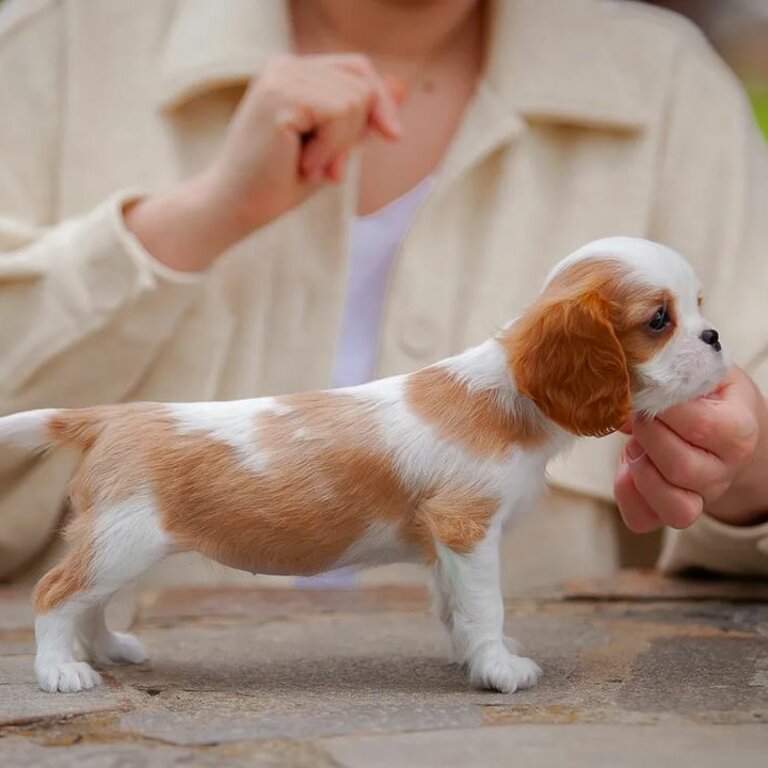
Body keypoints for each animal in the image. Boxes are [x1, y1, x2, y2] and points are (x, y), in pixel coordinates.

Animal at [0, 237, 728, 692]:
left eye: (700, 306)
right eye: (659, 319)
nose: (717, 338)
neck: (508, 394)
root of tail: (107, 416)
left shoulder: (445, 546)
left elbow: (455, 608)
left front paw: (473, 658)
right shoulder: (467, 529)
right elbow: (486, 604)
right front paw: (498, 669)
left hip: (120, 543)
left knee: (89, 602)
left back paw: (106, 650)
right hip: (124, 540)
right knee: (55, 593)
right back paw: (60, 671)